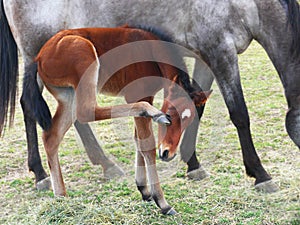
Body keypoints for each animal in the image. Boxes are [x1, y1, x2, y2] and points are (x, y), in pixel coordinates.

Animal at [1, 0, 298, 193]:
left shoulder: (205, 58)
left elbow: (197, 110)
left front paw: (191, 163)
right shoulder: (220, 53)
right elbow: (239, 114)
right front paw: (260, 175)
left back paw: (105, 165)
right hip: (37, 58)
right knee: (31, 106)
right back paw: (41, 174)